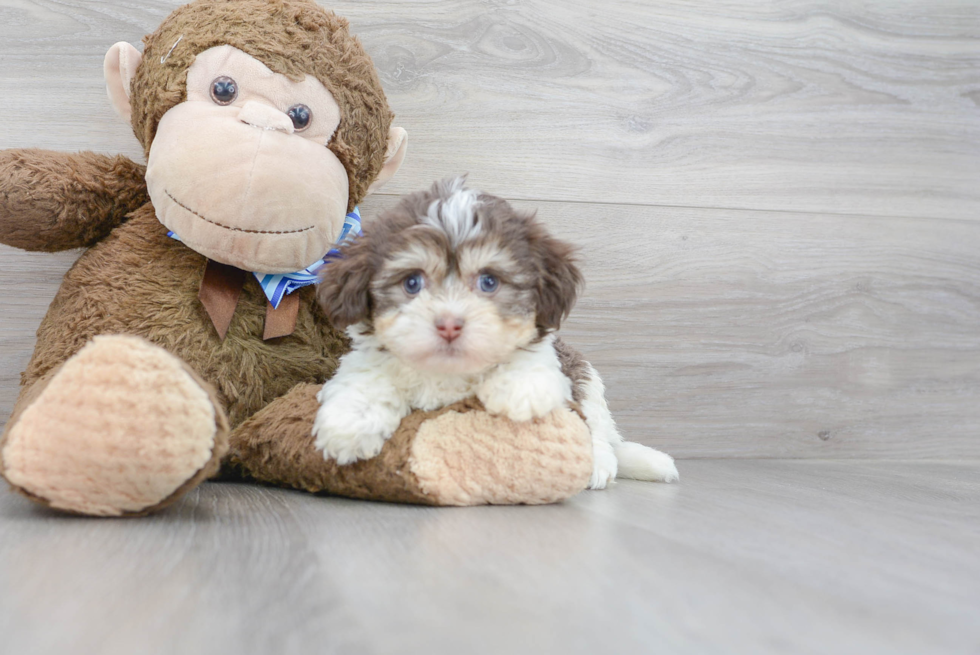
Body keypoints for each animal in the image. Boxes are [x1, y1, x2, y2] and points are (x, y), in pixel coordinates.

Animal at [310, 177, 676, 490]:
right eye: (412, 282)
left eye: (489, 282)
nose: (449, 324)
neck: (447, 374)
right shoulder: (367, 359)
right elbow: (365, 379)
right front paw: (349, 424)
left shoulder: (553, 362)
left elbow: (529, 365)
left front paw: (520, 390)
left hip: (587, 381)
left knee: (598, 429)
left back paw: (600, 464)